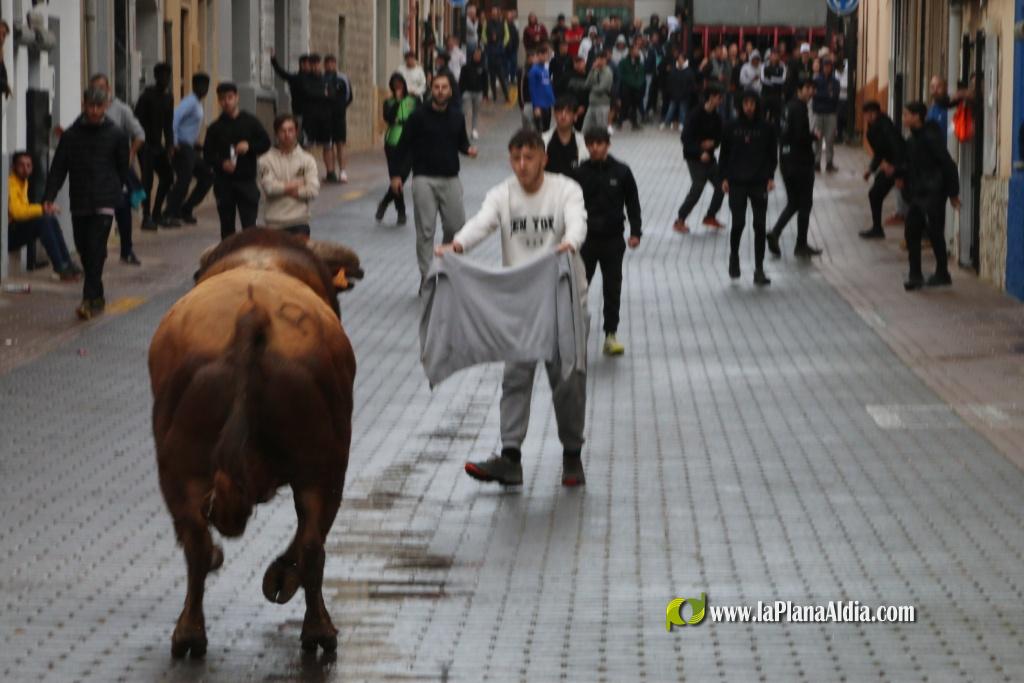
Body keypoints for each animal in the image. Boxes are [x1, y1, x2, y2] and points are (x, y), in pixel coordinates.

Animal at [148, 229, 361, 658]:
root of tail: (252, 314)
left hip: (183, 468)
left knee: (199, 544)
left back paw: (191, 631)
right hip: (323, 466)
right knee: (310, 543)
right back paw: (314, 626)